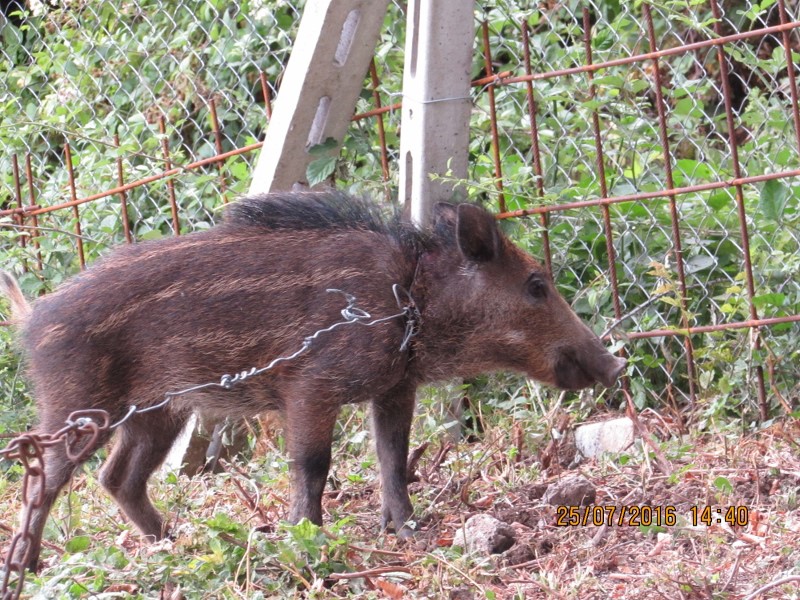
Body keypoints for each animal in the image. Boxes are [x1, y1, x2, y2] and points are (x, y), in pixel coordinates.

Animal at [0, 190, 624, 568]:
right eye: (536, 285)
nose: (616, 364)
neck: (410, 299)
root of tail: (35, 318)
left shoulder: (393, 387)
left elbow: (392, 457)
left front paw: (406, 531)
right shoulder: (309, 386)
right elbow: (312, 463)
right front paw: (308, 539)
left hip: (158, 414)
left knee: (118, 477)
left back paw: (174, 543)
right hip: (79, 404)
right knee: (48, 477)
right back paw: (29, 563)